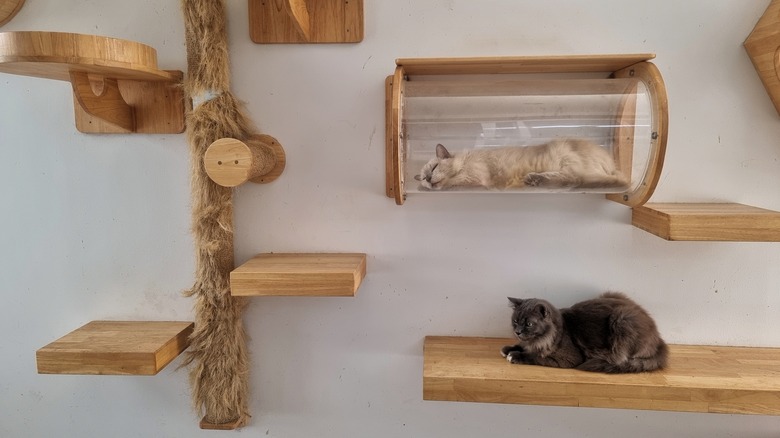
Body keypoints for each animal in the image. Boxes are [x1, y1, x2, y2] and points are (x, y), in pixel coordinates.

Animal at [502, 290, 668, 372]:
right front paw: (508, 349)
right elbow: (522, 346)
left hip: (623, 320)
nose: (517, 332)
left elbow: (536, 356)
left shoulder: (567, 358)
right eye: (515, 321)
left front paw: (515, 355)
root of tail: (660, 341)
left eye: (529, 324)